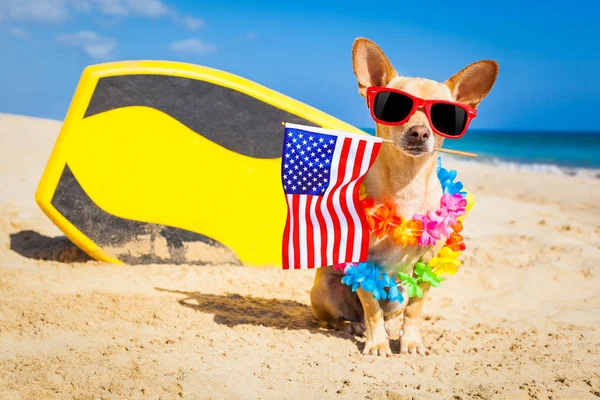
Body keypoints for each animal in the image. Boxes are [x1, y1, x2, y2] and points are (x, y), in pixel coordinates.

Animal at [310, 38, 496, 356]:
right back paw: (354, 326)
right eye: (395, 105)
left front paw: (410, 341)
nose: (419, 132)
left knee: (389, 313)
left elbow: (415, 309)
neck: (407, 182)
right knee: (344, 317)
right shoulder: (362, 264)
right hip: (326, 288)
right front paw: (377, 344)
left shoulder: (428, 266)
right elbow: (371, 306)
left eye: (445, 115)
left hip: (398, 292)